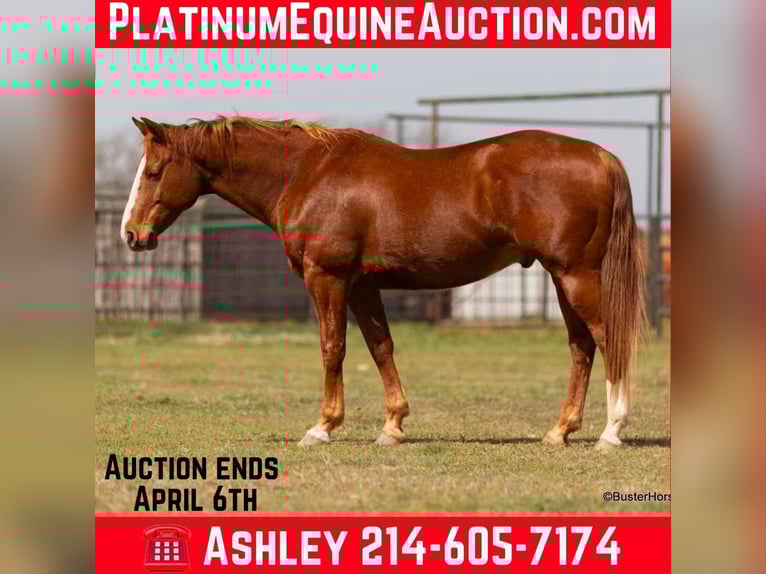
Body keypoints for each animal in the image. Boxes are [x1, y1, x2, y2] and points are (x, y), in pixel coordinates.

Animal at [121, 115, 646, 451]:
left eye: (154, 171)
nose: (132, 234)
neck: (308, 172)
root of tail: (600, 156)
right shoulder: (361, 286)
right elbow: (380, 347)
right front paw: (393, 426)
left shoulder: (327, 278)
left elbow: (332, 348)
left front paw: (323, 427)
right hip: (562, 279)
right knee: (581, 346)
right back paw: (561, 431)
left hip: (575, 276)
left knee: (607, 339)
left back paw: (611, 432)